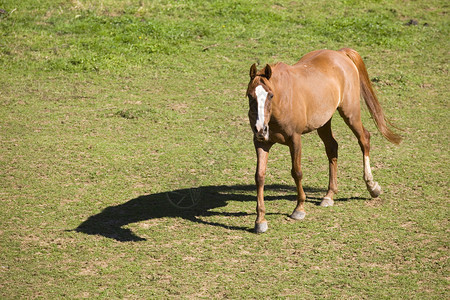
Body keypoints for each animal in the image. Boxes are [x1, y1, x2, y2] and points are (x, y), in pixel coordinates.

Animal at [246, 48, 400, 233]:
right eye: (250, 96)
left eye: (270, 95)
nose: (260, 128)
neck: (282, 101)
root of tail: (340, 53)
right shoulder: (261, 143)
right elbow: (259, 176)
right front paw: (260, 220)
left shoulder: (295, 140)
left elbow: (296, 172)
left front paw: (299, 209)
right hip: (324, 122)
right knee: (332, 148)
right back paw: (329, 195)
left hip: (350, 113)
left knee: (364, 139)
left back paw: (372, 187)